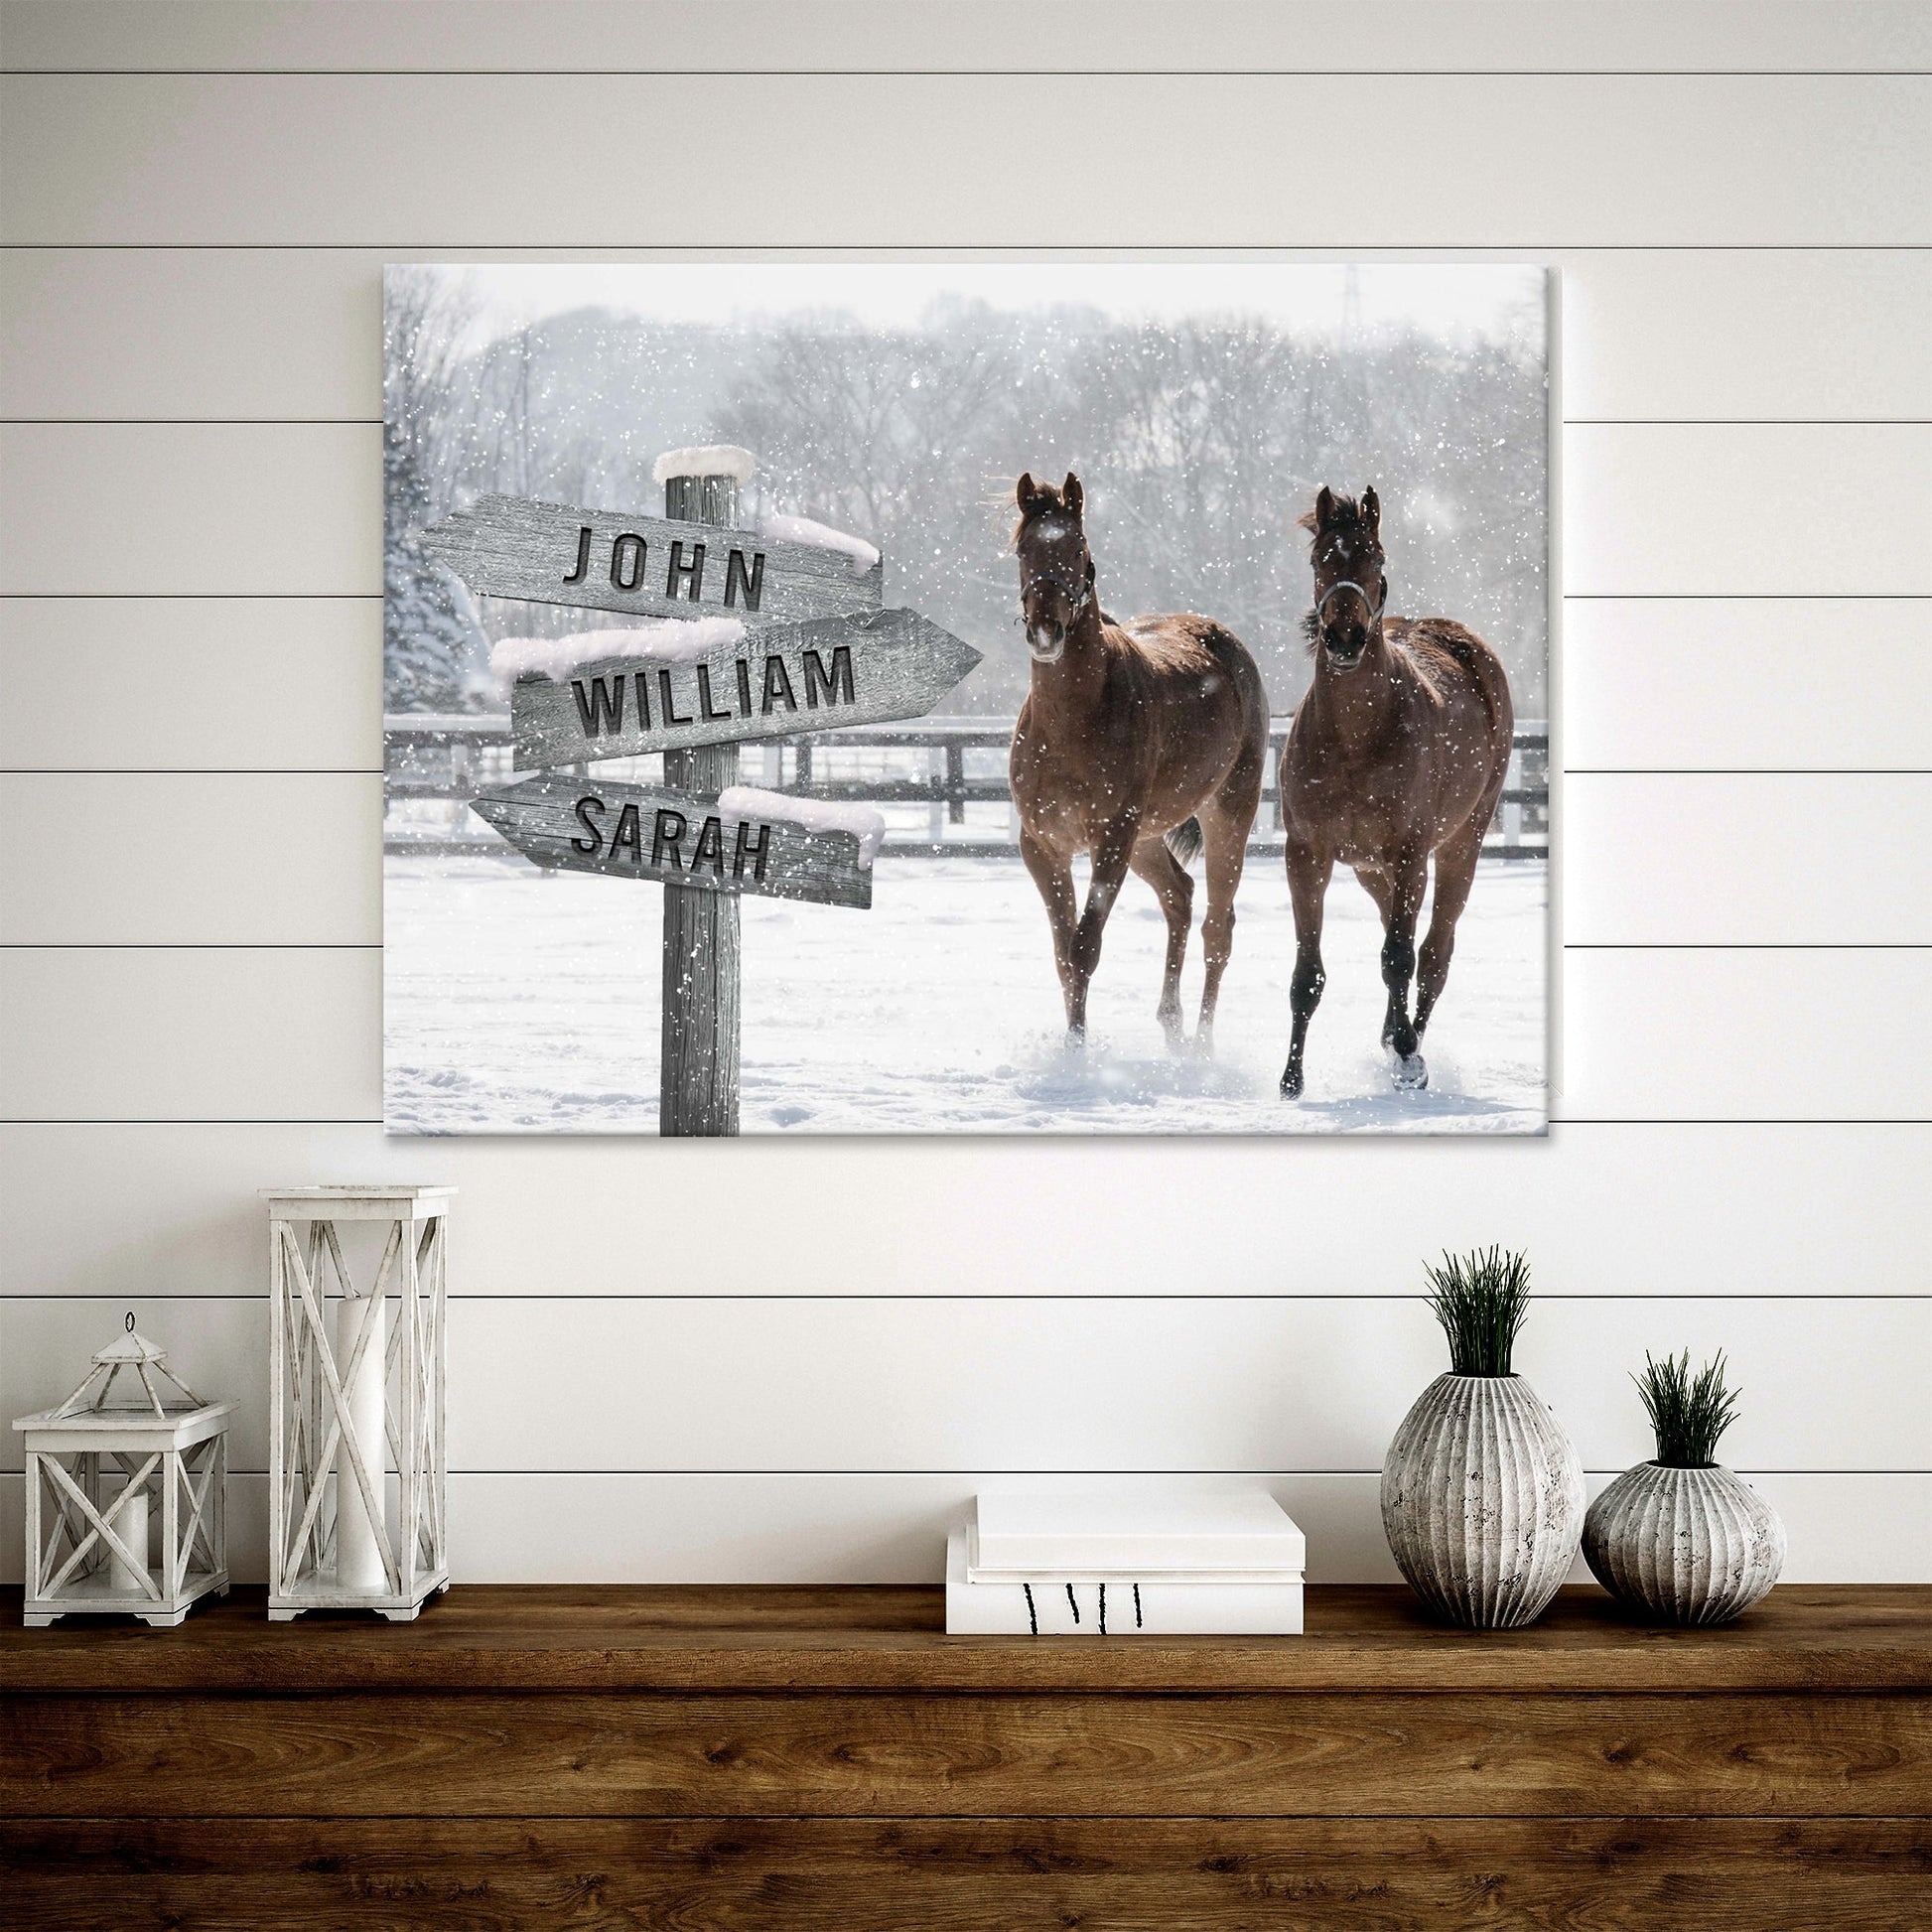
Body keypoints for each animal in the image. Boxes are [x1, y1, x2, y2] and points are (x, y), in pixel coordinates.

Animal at [1010, 471, 1270, 1047]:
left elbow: (1085, 946)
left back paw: (1201, 1044)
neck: (1072, 721)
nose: (1045, 631)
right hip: (1147, 838)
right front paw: (1074, 1045)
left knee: (1217, 928)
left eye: (1078, 547)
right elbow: (1063, 955)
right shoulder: (1042, 845)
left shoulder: (1110, 840)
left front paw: (1078, 1052)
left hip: (1225, 814)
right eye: (1022, 549)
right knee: (1179, 896)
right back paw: (1171, 1025)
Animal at [1278, 485, 1514, 1098]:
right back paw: (1389, 1033)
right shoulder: (1306, 855)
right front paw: (1291, 1079)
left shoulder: (1410, 852)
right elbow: (1307, 975)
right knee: (1394, 929)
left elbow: (1400, 959)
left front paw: (1409, 1059)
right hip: (1368, 867)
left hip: (1460, 845)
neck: (1354, 737)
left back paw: (1405, 1044)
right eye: (1319, 560)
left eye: (1377, 560)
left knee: (1432, 953)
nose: (1344, 639)